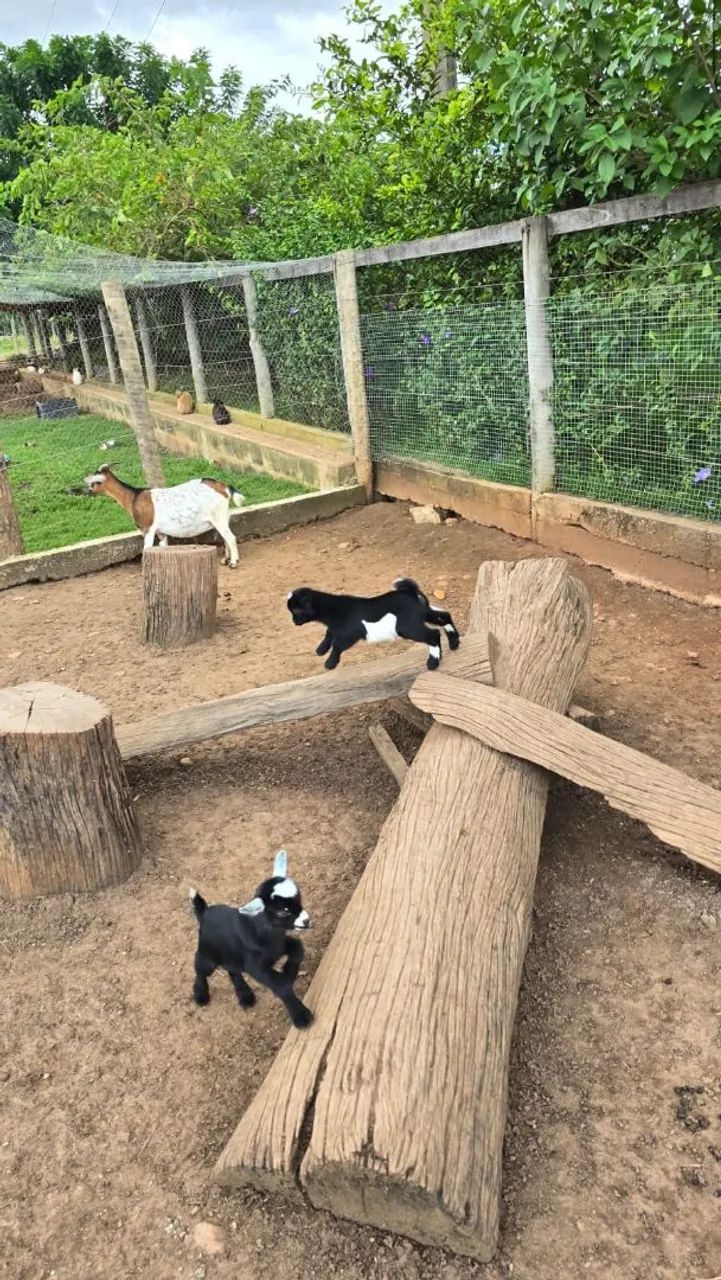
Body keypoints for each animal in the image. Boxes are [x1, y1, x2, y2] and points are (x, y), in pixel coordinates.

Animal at [84, 464, 245, 566]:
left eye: (94, 483)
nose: (86, 492)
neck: (134, 497)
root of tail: (224, 488)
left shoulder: (148, 529)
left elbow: (146, 549)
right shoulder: (161, 532)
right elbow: (163, 546)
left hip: (218, 517)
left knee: (231, 537)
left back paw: (233, 562)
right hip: (221, 518)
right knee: (225, 537)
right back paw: (225, 560)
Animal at [189, 850, 313, 1029]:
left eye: (299, 897)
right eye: (282, 911)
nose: (306, 921)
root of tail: (204, 912)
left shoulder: (279, 945)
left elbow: (298, 947)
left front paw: (288, 971)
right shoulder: (255, 966)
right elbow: (280, 984)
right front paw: (301, 1017)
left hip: (232, 955)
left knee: (233, 970)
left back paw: (245, 995)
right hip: (207, 955)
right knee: (200, 970)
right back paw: (201, 995)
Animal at [287, 576, 460, 671]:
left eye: (296, 611)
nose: (294, 622)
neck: (335, 609)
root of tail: (410, 592)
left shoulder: (350, 633)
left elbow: (338, 644)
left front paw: (330, 663)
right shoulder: (336, 628)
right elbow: (329, 633)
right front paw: (321, 650)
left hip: (407, 626)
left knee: (433, 634)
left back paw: (433, 662)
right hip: (423, 613)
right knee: (444, 616)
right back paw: (454, 643)